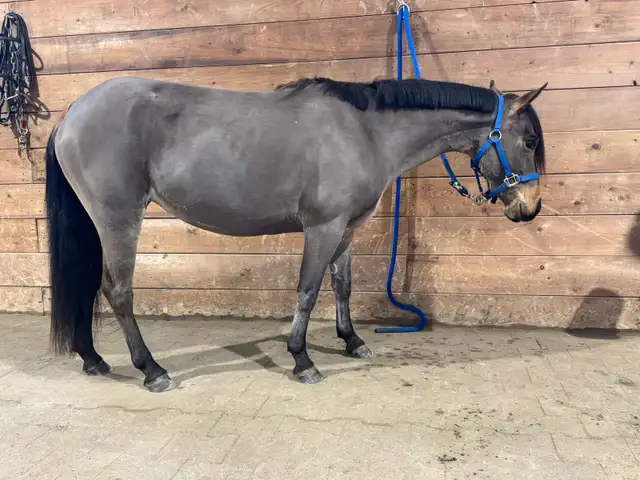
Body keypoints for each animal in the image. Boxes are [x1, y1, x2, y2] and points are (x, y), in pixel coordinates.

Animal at [45, 75, 547, 392]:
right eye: (528, 142)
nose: (530, 208)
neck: (366, 132)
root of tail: (72, 115)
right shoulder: (322, 227)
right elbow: (308, 290)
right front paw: (302, 360)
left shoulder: (347, 230)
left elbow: (342, 286)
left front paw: (352, 341)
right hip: (119, 219)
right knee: (118, 290)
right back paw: (151, 370)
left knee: (89, 286)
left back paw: (93, 359)